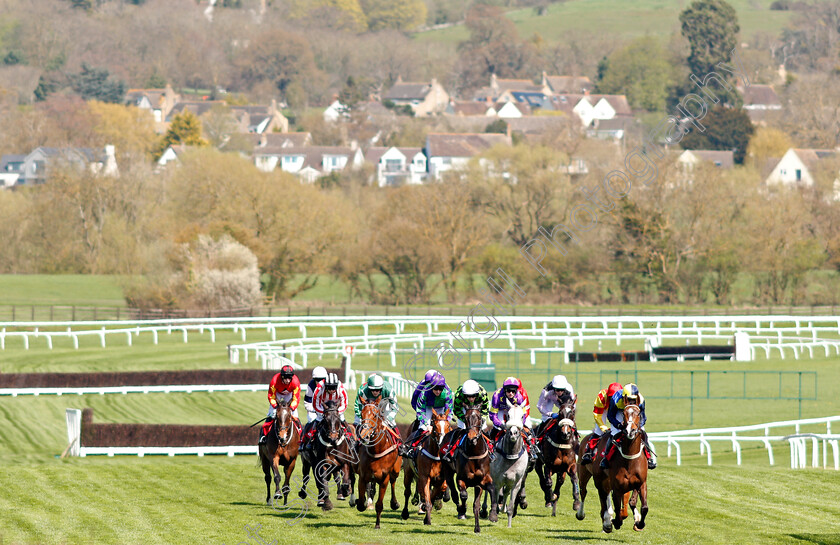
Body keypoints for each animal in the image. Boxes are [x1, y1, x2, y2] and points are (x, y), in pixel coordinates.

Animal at [354, 396, 404, 528]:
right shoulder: (363, 476)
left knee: (393, 481)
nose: (364, 435)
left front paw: (377, 524)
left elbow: (379, 504)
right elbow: (360, 504)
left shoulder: (384, 478)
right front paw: (361, 501)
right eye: (362, 414)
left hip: (396, 470)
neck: (376, 450)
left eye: (375, 415)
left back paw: (394, 503)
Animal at [442, 404, 496, 532]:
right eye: (465, 418)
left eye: (479, 417)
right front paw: (462, 510)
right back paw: (460, 510)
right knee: (454, 494)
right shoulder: (461, 478)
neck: (474, 453)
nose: (472, 438)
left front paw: (491, 515)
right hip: (448, 471)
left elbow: (487, 493)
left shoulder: (482, 481)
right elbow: (463, 495)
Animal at [576, 404, 648, 532]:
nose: (630, 431)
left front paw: (639, 523)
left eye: (639, 413)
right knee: (586, 492)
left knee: (606, 496)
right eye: (623, 413)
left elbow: (641, 506)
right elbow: (618, 512)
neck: (630, 459)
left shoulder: (640, 483)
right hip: (587, 474)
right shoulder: (618, 487)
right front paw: (613, 521)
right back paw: (590, 516)